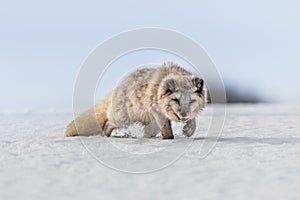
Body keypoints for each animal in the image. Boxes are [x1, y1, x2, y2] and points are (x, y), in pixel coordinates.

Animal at [65, 62, 206, 139]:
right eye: (176, 100)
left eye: (191, 101)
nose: (183, 114)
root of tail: (117, 89)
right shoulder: (157, 111)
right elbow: (167, 130)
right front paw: (169, 138)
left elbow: (193, 121)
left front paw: (188, 130)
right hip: (123, 119)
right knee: (107, 123)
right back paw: (106, 135)